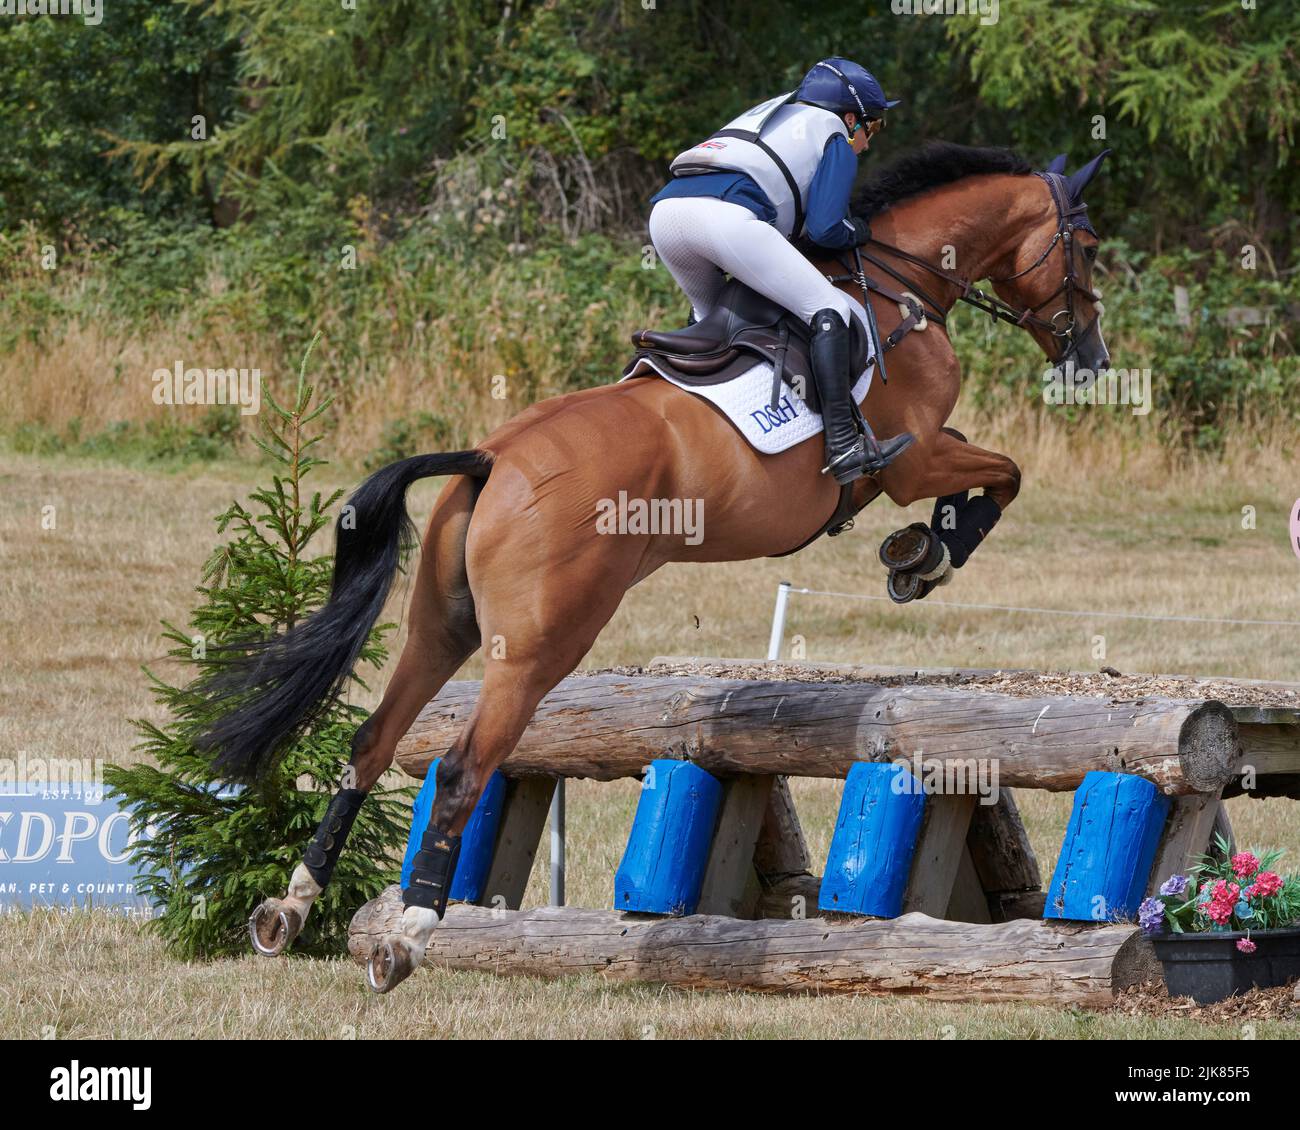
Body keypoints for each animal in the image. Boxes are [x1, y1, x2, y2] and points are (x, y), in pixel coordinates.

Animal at [200, 141, 1107, 988]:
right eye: (1089, 247)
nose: (1092, 358)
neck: (898, 290)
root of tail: (493, 459)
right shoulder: (911, 460)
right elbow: (1004, 473)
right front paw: (927, 555)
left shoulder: (924, 455)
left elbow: (996, 469)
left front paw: (921, 551)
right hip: (539, 648)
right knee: (461, 769)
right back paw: (408, 935)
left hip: (441, 625)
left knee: (373, 740)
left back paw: (289, 908)